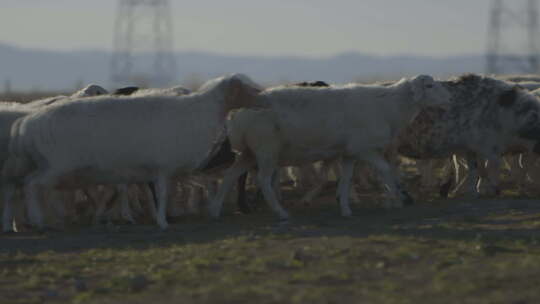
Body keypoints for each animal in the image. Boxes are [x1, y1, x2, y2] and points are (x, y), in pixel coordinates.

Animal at [3, 74, 262, 230]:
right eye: (247, 88)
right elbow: (161, 194)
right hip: (55, 166)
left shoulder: (153, 170)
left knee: (26, 187)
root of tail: (27, 125)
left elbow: (153, 193)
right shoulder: (162, 167)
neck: (200, 110)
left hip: (45, 167)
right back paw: (37, 220)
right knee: (31, 185)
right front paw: (163, 221)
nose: (264, 99)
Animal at [209, 75, 454, 220]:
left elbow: (346, 180)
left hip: (249, 152)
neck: (390, 106)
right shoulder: (365, 149)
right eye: (430, 85)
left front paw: (345, 208)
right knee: (262, 180)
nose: (449, 99)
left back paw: (216, 210)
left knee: (230, 176)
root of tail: (238, 115)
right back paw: (281, 212)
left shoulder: (350, 153)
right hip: (266, 150)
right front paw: (395, 200)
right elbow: (385, 170)